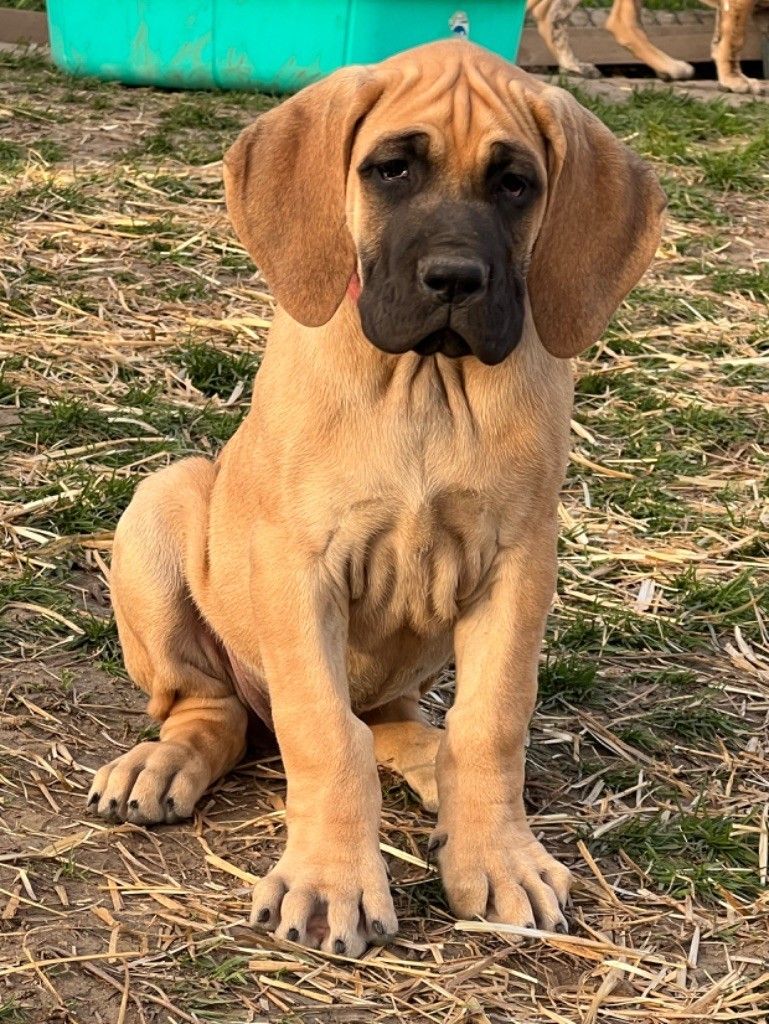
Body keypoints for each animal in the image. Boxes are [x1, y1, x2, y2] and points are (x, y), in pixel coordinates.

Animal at [87, 39, 664, 957]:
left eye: (515, 184)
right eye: (391, 170)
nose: (455, 279)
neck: (426, 381)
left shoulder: (519, 564)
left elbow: (491, 722)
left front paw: (496, 856)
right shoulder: (299, 568)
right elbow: (325, 735)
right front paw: (331, 881)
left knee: (394, 720)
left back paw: (430, 763)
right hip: (163, 502)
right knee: (214, 709)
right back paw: (164, 760)